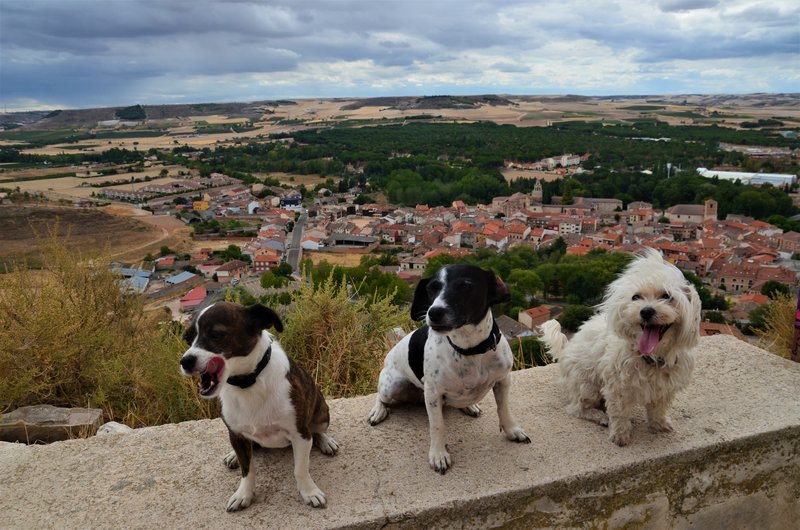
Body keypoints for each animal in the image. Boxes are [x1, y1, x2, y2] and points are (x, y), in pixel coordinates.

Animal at [180, 304, 336, 510]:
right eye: (188, 339)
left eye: (216, 334)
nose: (185, 361)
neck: (248, 383)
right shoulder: (236, 435)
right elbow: (247, 470)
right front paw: (243, 494)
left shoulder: (300, 434)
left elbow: (300, 469)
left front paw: (309, 492)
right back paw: (233, 456)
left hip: (322, 412)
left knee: (317, 430)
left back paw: (326, 441)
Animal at [368, 264, 532, 470]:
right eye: (431, 288)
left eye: (465, 285)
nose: (434, 312)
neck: (470, 350)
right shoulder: (433, 394)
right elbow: (437, 426)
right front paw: (438, 454)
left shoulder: (503, 380)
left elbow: (503, 408)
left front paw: (512, 430)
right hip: (392, 385)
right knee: (381, 397)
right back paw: (378, 411)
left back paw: (470, 406)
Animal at [536, 250, 700, 444]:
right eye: (636, 297)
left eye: (667, 296)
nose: (646, 311)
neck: (652, 357)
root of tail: (566, 351)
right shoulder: (618, 387)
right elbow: (620, 413)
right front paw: (620, 435)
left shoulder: (665, 389)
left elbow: (658, 408)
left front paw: (658, 424)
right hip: (587, 385)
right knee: (577, 408)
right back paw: (600, 416)